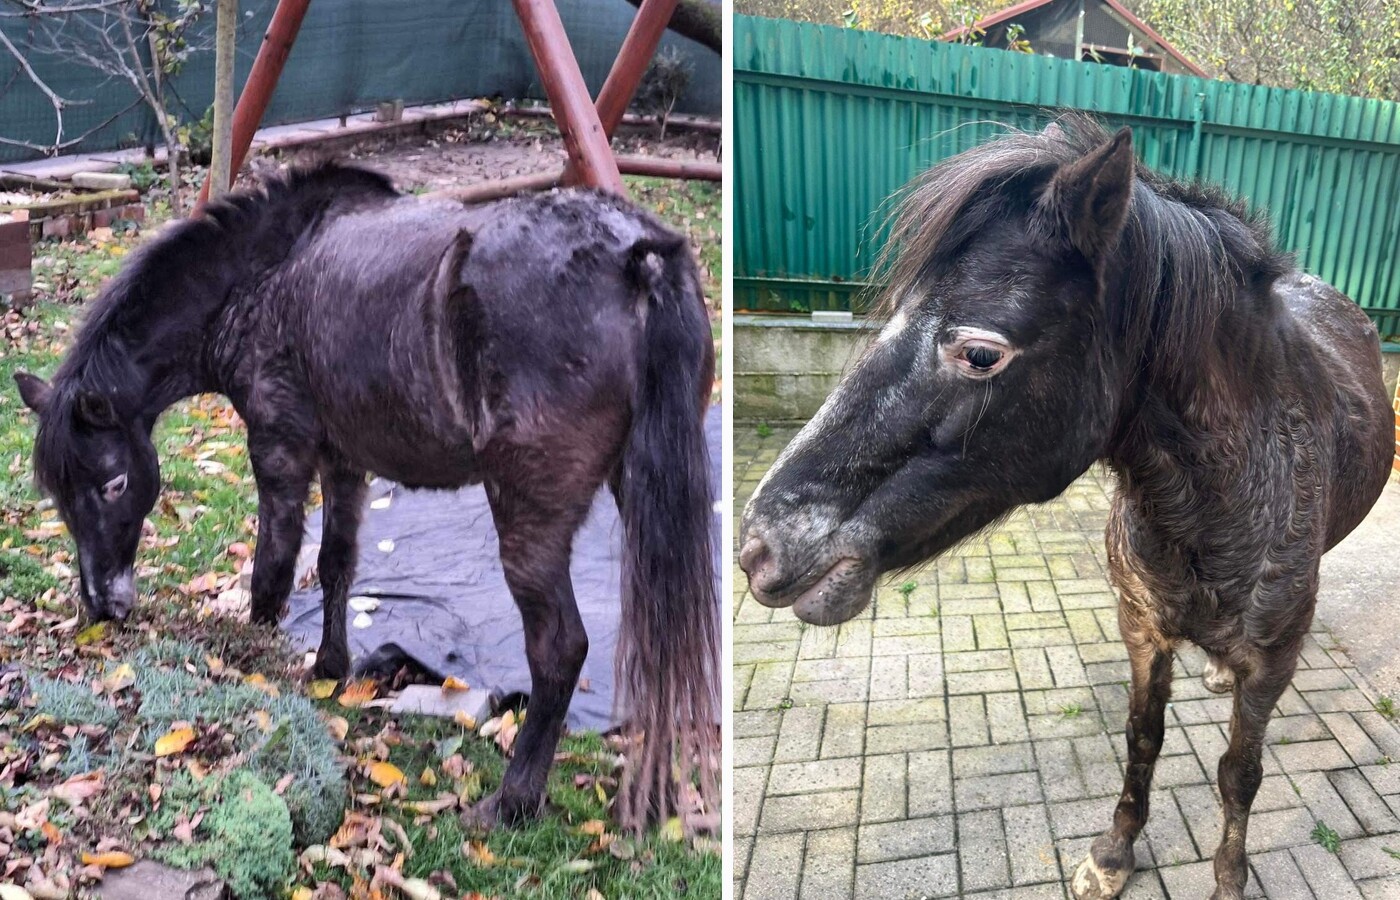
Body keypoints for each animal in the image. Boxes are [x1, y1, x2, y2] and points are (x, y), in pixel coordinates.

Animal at [14, 162, 718, 831]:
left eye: (113, 484)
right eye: (58, 496)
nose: (103, 605)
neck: (263, 276)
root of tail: (635, 254)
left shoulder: (279, 448)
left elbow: (273, 570)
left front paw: (254, 673)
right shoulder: (343, 462)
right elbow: (336, 564)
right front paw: (330, 666)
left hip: (529, 516)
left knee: (560, 649)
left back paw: (514, 800)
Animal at [738, 116, 1391, 899]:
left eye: (980, 354)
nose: (759, 546)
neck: (1214, 512)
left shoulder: (1269, 666)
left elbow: (1240, 772)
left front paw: (1228, 879)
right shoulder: (1142, 632)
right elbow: (1143, 739)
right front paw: (1113, 853)